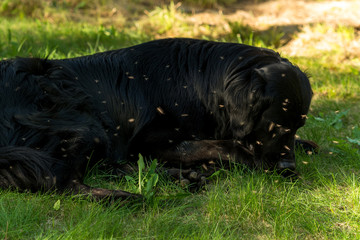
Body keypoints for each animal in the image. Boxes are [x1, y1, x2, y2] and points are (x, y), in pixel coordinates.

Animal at [0, 38, 316, 200]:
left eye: (298, 125)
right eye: (274, 126)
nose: (288, 166)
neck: (198, 82)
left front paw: (305, 144)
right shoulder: (148, 141)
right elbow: (219, 146)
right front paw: (252, 160)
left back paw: (184, 177)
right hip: (84, 125)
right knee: (60, 181)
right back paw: (128, 197)